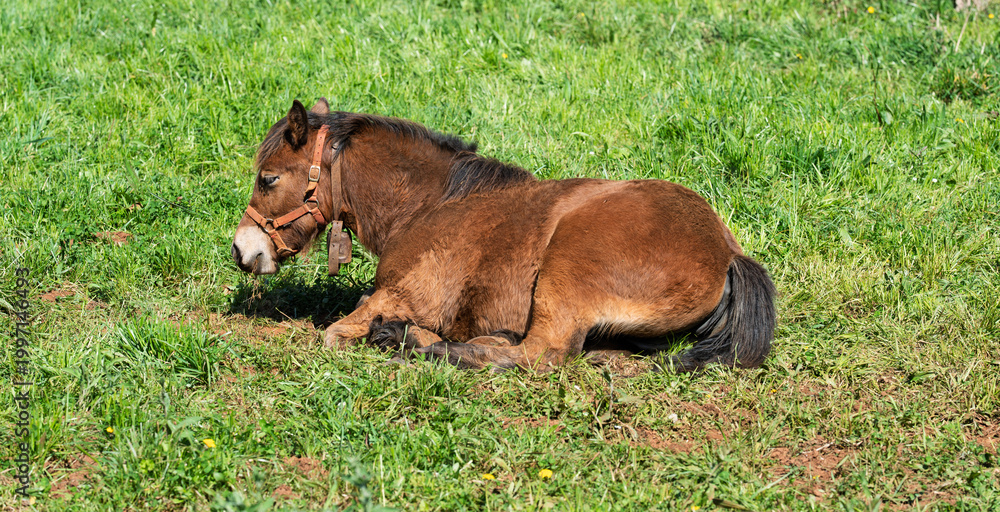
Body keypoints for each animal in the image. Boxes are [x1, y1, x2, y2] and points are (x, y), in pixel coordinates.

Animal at [231, 99, 776, 372]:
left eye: (269, 178)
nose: (242, 249)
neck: (432, 204)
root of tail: (727, 252)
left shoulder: (401, 295)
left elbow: (340, 331)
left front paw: (398, 335)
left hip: (566, 272)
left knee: (537, 356)